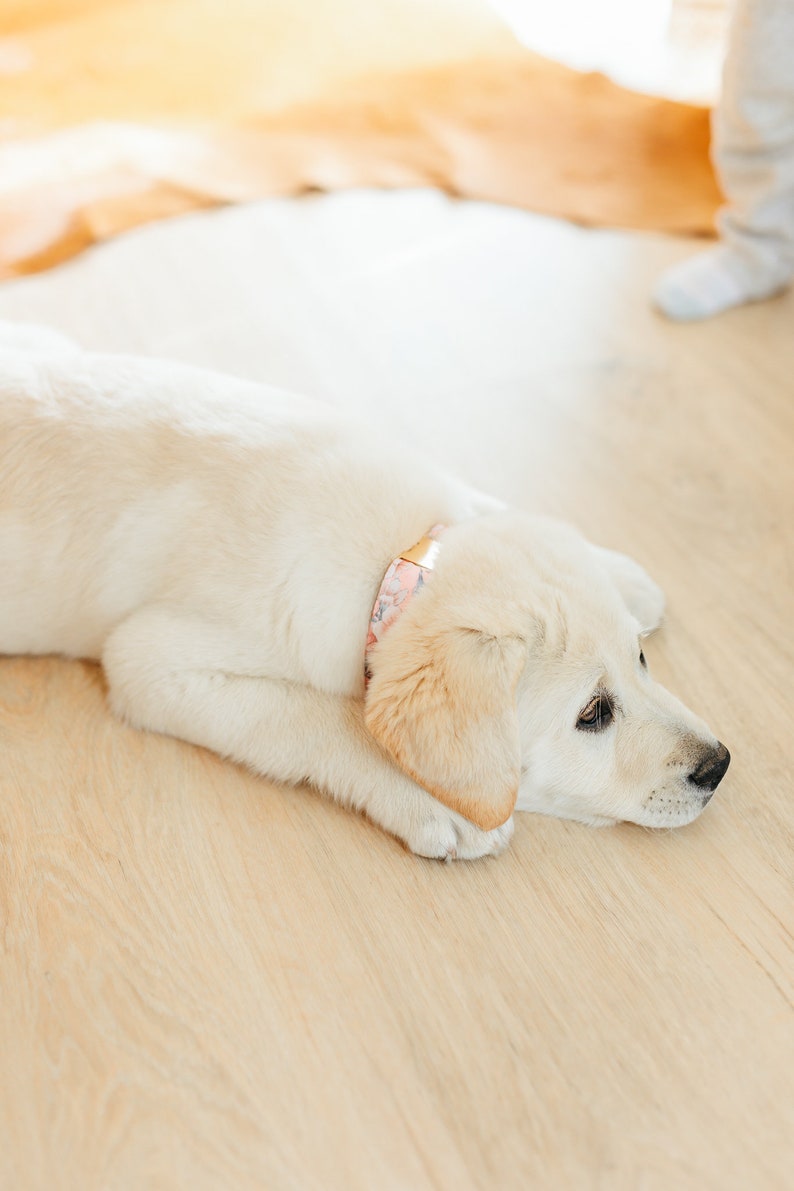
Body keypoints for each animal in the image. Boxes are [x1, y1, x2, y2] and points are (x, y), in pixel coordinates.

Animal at [1, 319, 733, 857]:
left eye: (641, 658)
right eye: (593, 713)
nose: (718, 765)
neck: (396, 564)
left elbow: (483, 506)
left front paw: (618, 573)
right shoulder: (150, 662)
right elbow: (319, 717)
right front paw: (425, 797)